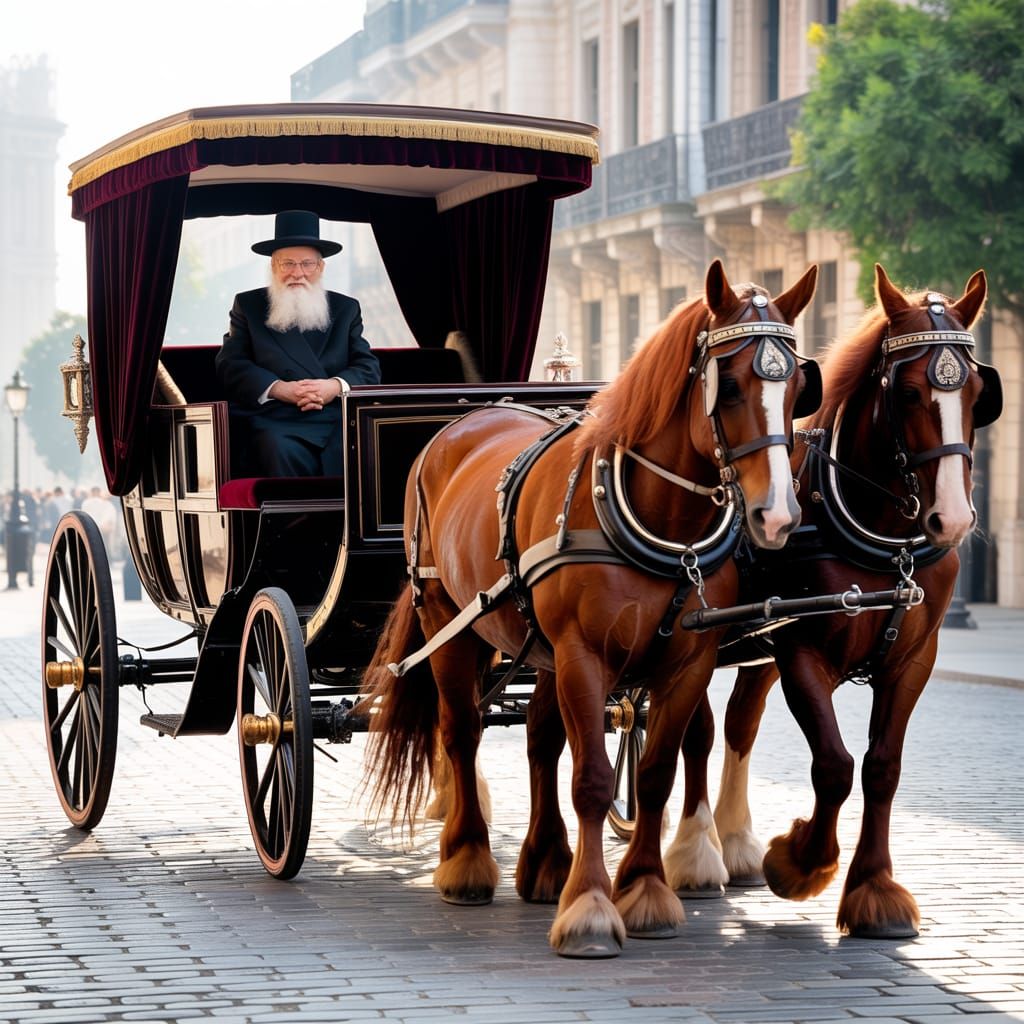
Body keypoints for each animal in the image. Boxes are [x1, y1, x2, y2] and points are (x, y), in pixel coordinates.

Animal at [361, 258, 820, 957]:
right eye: (732, 386)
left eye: (797, 385)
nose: (777, 516)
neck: (658, 523)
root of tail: (463, 420)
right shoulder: (583, 655)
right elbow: (594, 779)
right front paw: (592, 908)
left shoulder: (686, 664)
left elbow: (652, 773)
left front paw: (647, 892)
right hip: (448, 618)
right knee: (461, 731)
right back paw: (467, 860)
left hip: (535, 645)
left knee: (539, 736)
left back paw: (546, 862)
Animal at [662, 264, 1003, 938]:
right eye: (908, 394)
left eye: (979, 392)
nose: (952, 519)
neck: (883, 538)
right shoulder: (801, 650)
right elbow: (834, 763)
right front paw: (798, 863)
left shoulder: (912, 661)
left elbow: (881, 766)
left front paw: (874, 890)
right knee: (697, 731)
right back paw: (697, 852)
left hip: (752, 653)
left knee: (738, 724)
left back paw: (733, 843)